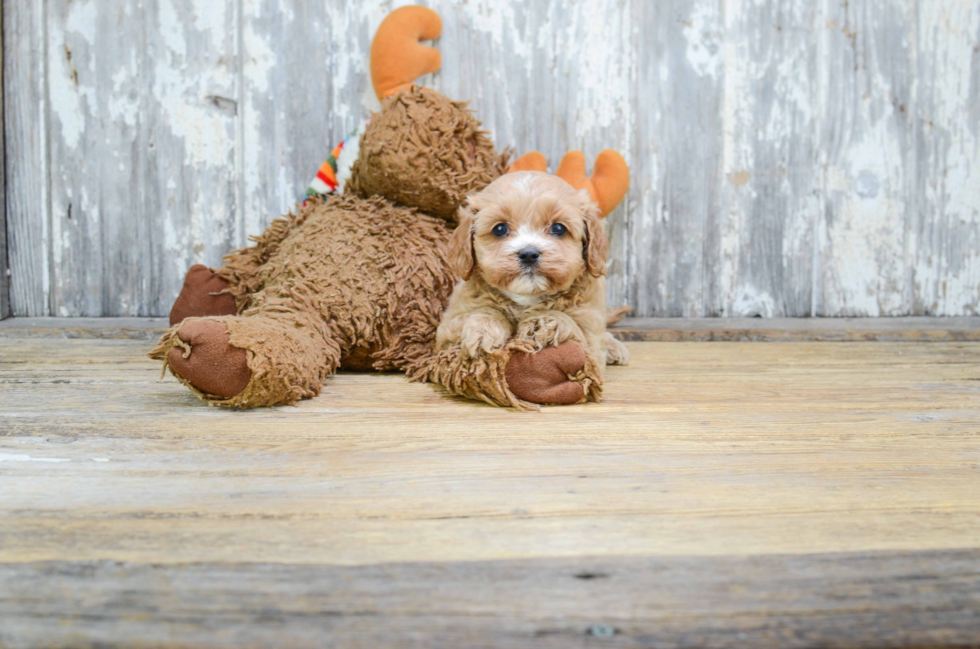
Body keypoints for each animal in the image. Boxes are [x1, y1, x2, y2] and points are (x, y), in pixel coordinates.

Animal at [436, 170, 628, 374]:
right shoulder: (445, 331)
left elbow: (571, 326)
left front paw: (545, 322)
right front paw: (483, 329)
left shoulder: (591, 340)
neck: (526, 298)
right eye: (500, 229)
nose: (528, 254)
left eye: (558, 228)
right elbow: (480, 312)